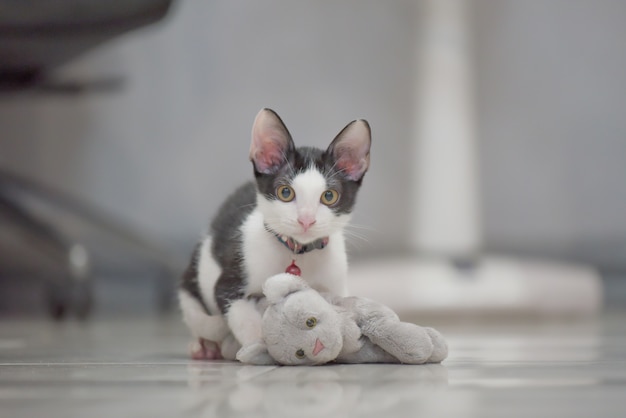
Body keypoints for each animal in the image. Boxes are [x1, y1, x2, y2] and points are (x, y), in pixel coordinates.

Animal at [177, 108, 370, 360]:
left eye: (329, 196)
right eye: (285, 192)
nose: (306, 219)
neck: (298, 252)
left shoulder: (335, 283)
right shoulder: (228, 282)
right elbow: (240, 313)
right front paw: (258, 344)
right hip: (193, 277)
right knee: (197, 316)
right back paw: (204, 346)